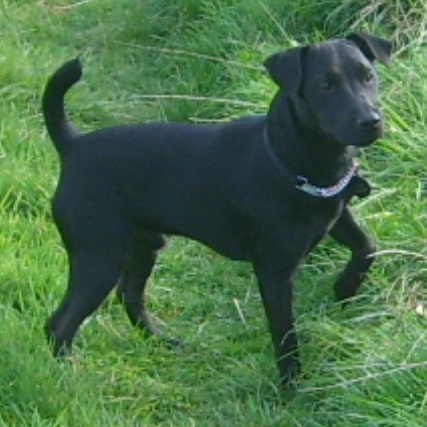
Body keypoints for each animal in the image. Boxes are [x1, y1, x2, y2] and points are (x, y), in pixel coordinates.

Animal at [42, 31, 392, 386]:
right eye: (324, 85)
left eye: (368, 76)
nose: (371, 121)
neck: (287, 158)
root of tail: (73, 146)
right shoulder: (274, 272)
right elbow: (284, 335)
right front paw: (291, 386)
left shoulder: (335, 214)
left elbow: (367, 246)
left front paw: (344, 288)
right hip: (99, 257)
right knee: (59, 324)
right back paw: (69, 376)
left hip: (143, 245)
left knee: (130, 296)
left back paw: (161, 341)